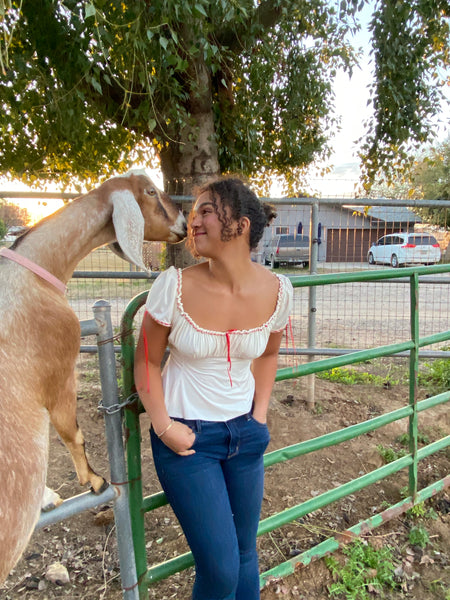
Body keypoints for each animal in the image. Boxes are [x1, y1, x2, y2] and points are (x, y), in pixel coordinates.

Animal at [0, 171, 186, 584]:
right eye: (150, 191)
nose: (184, 223)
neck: (33, 270)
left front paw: (49, 496)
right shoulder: (58, 374)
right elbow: (72, 432)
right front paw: (95, 481)